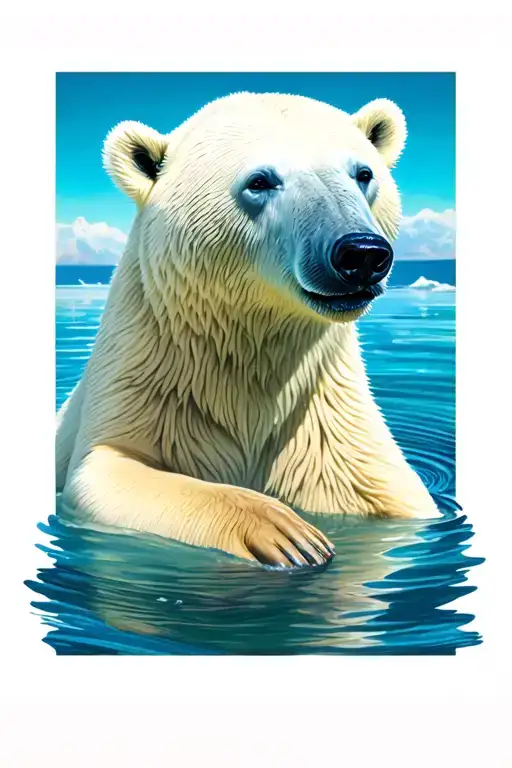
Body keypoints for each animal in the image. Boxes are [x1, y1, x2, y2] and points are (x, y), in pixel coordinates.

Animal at [56, 91, 439, 569]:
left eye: (363, 174)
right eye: (260, 181)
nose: (362, 253)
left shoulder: (328, 427)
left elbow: (396, 492)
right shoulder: (150, 387)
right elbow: (104, 471)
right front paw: (287, 533)